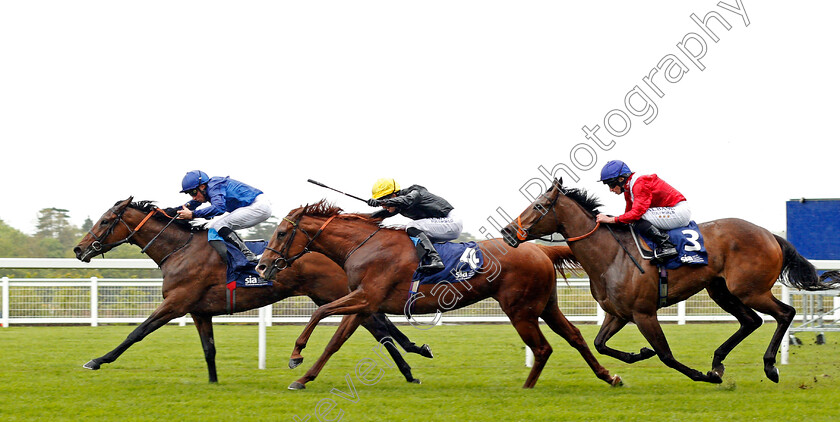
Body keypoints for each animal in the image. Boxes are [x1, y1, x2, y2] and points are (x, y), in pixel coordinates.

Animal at [72, 196, 434, 384]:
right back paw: (412, 362)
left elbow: (137, 332)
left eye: (106, 221)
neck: (180, 249)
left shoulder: (177, 302)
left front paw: (97, 360)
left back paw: (409, 366)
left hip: (334, 294)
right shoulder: (199, 310)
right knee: (378, 327)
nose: (79, 249)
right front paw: (213, 382)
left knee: (377, 327)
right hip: (336, 295)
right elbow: (209, 349)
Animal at [253, 200, 620, 390]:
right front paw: (304, 377)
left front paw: (296, 356)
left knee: (543, 347)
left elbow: (320, 312)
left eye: (282, 232)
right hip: (545, 305)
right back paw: (609, 376)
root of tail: (540, 250)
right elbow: (335, 341)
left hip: (521, 309)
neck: (364, 244)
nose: (262, 266)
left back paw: (527, 388)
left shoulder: (365, 297)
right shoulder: (365, 303)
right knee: (574, 336)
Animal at [502, 180, 836, 384]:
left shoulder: (643, 313)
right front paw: (638, 354)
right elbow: (600, 344)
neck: (611, 254)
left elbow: (666, 355)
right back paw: (718, 361)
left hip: (749, 289)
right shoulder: (618, 313)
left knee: (784, 313)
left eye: (539, 206)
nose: (507, 232)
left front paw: (702, 375)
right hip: (721, 290)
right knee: (751, 321)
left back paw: (769, 366)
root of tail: (770, 234)